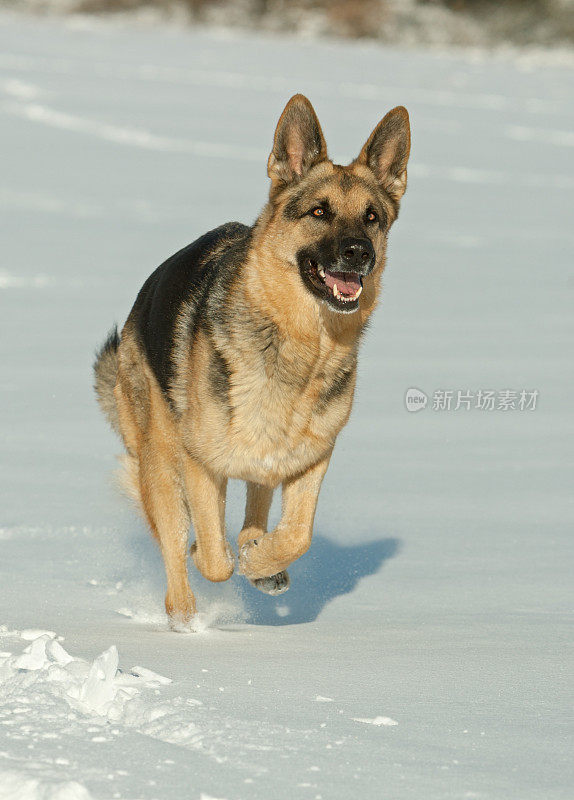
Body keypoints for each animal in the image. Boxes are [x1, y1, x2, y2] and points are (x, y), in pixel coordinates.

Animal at [93, 94, 410, 628]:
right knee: (177, 548)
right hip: (160, 461)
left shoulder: (311, 458)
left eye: (372, 217)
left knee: (254, 510)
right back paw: (184, 616)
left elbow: (297, 534)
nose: (359, 253)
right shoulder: (200, 463)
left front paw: (262, 563)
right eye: (320, 211)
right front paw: (228, 559)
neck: (301, 345)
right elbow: (215, 560)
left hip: (262, 459)